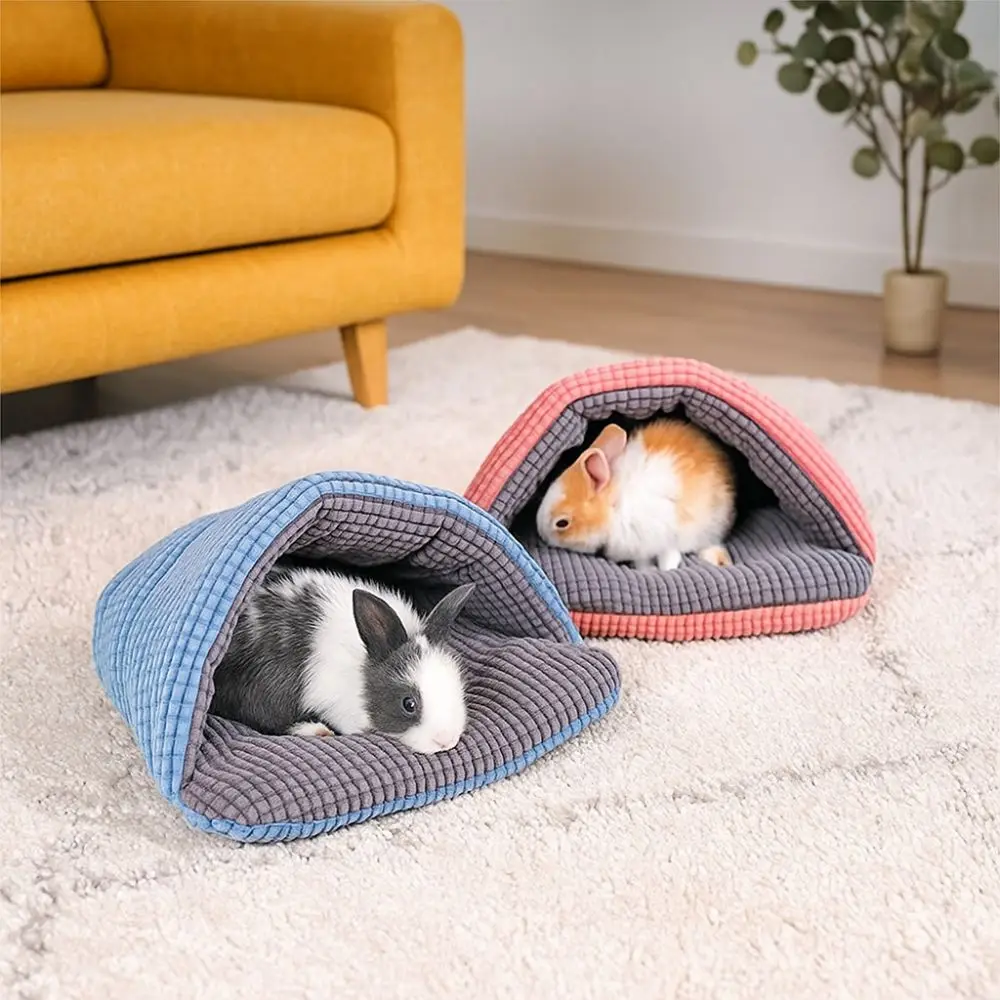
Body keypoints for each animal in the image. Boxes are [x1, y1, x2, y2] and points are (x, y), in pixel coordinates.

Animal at [535, 418, 736, 572]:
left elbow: (669, 558)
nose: (543, 537)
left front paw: (664, 570)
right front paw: (647, 570)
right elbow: (642, 562)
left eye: (562, 523)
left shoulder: (665, 539)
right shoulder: (641, 551)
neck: (615, 507)